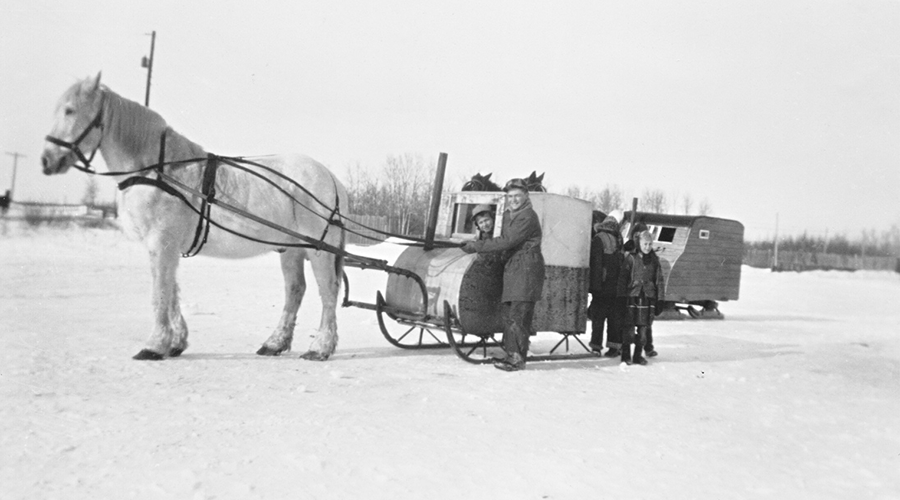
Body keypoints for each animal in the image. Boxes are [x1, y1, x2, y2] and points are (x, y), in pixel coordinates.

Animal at [44, 74, 350, 362]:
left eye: (70, 110)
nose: (46, 161)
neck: (158, 170)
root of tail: (332, 178)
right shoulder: (165, 247)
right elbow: (171, 291)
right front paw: (174, 342)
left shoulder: (161, 242)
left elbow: (160, 292)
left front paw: (154, 345)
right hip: (291, 249)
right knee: (295, 290)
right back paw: (274, 343)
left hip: (319, 251)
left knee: (328, 292)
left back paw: (320, 347)